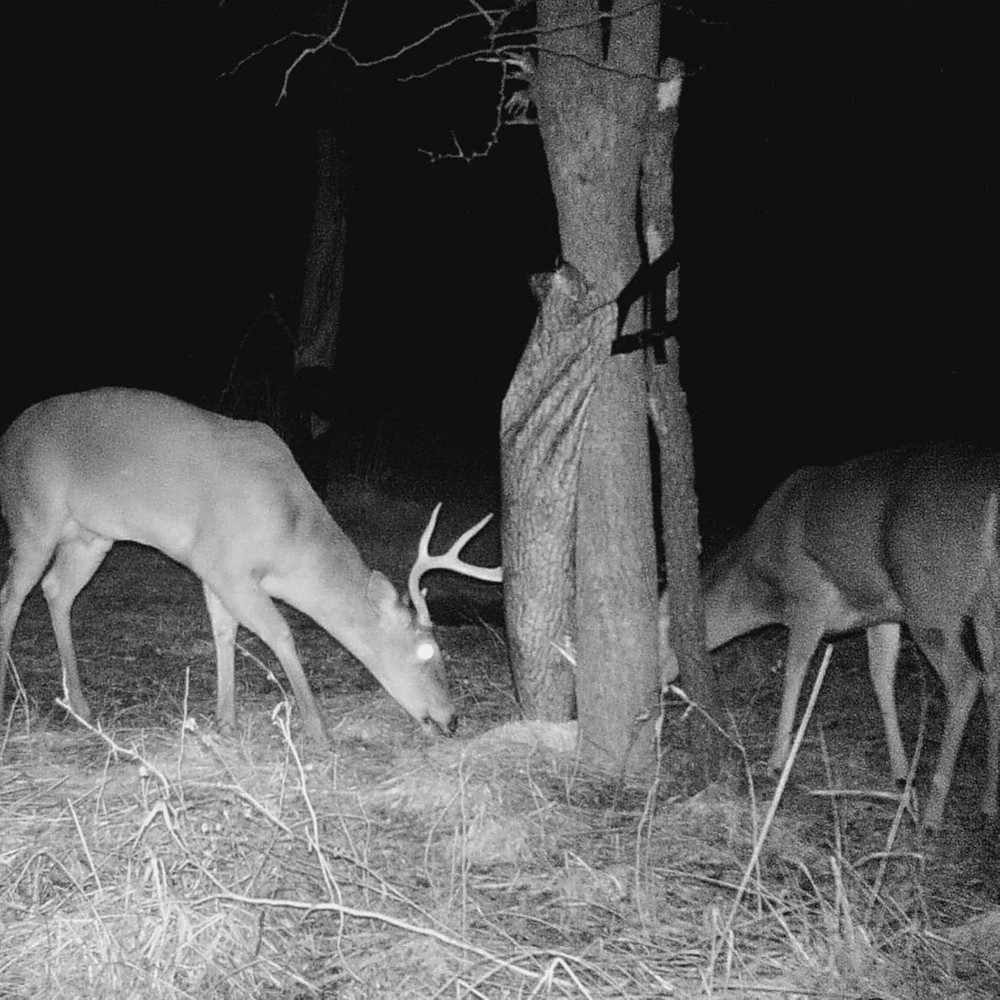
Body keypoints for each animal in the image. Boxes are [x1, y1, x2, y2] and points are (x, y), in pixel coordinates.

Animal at [0, 388, 503, 743]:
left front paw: (225, 720)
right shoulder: (224, 564)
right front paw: (319, 730)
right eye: (427, 652)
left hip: (90, 536)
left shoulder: (214, 571)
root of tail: (8, 435)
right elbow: (280, 633)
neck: (289, 532)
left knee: (56, 589)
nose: (452, 720)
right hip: (33, 517)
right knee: (12, 594)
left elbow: (225, 633)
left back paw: (81, 705)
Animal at [675, 443, 1000, 830]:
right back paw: (988, 801)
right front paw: (901, 772)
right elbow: (881, 680)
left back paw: (933, 814)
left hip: (930, 597)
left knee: (966, 681)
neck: (762, 586)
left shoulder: (808, 599)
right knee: (994, 681)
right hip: (983, 605)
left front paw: (775, 761)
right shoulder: (882, 613)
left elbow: (795, 670)